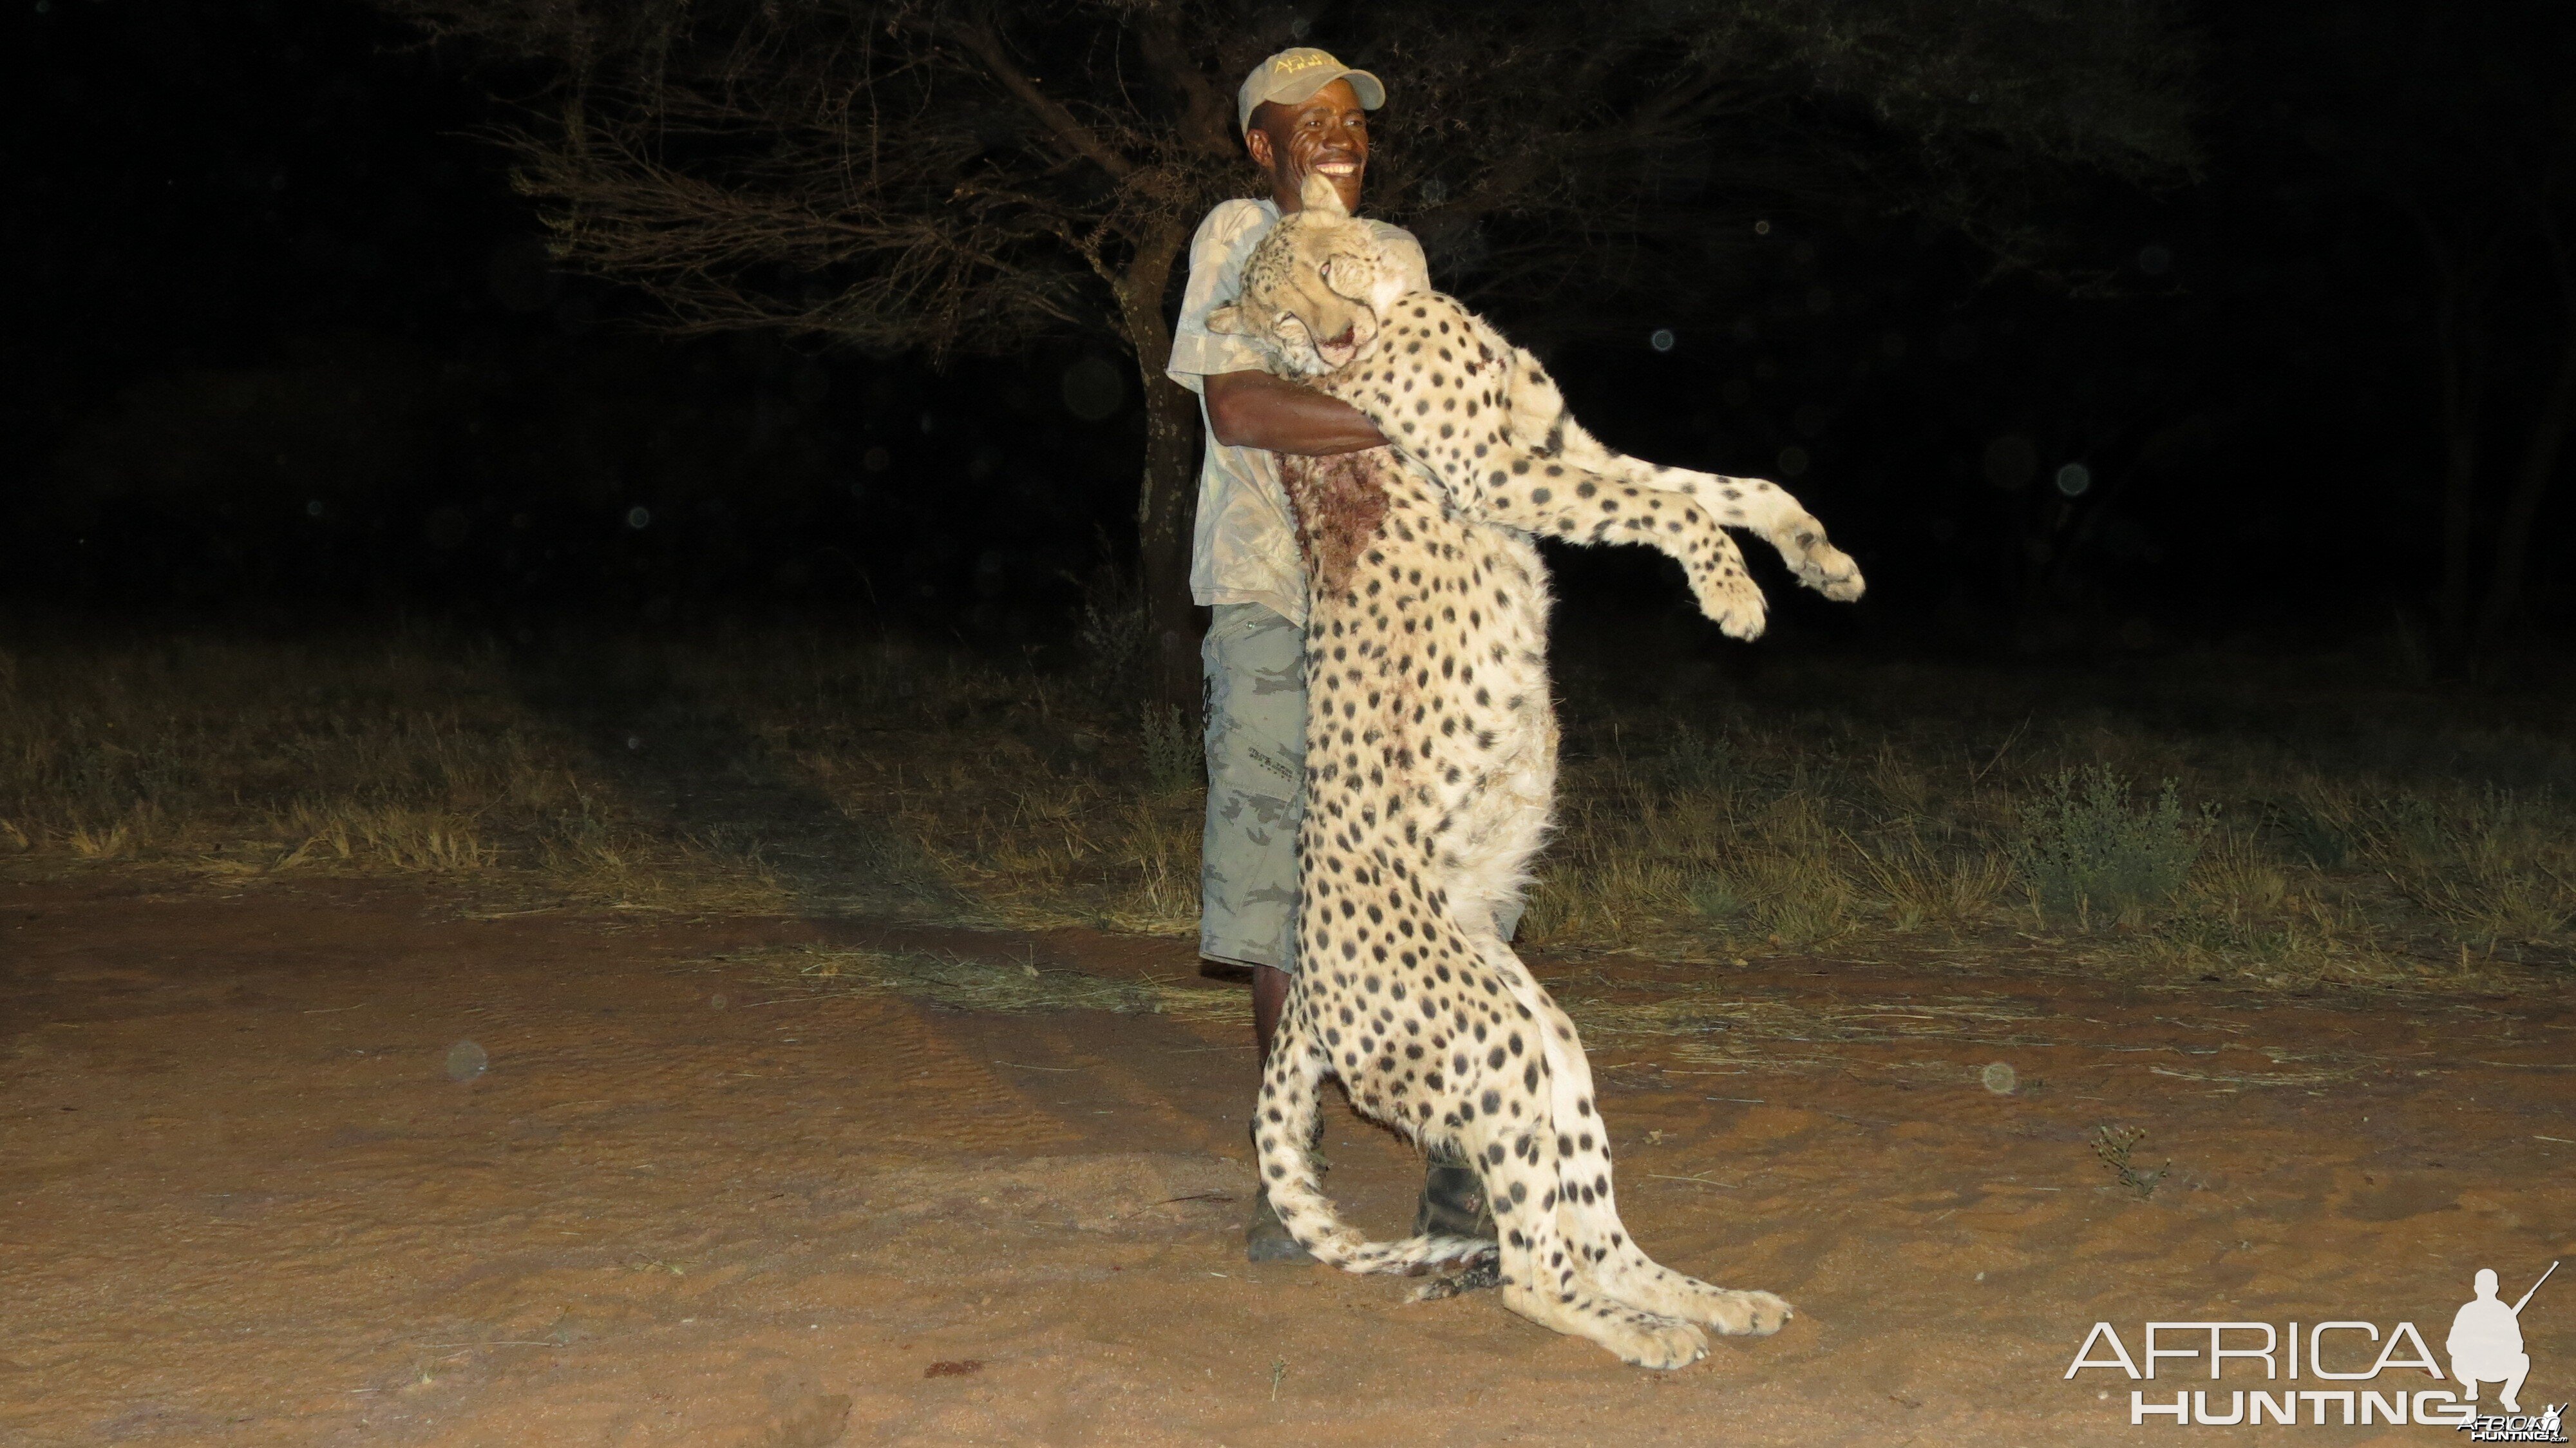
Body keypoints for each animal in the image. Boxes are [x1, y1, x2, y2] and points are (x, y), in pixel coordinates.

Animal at [1206, 175, 1875, 1360]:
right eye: (1281, 319)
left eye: (1328, 271)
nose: (1335, 338)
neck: (1403, 304)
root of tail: (1310, 1001)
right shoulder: (1501, 470)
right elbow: (1673, 507)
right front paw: (1733, 595)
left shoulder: (1568, 440)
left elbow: (1729, 484)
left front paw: (1818, 560)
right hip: (1493, 1048)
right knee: (1531, 1268)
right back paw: (1641, 1333)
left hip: (1547, 1042)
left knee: (1593, 1230)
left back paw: (1705, 1301)